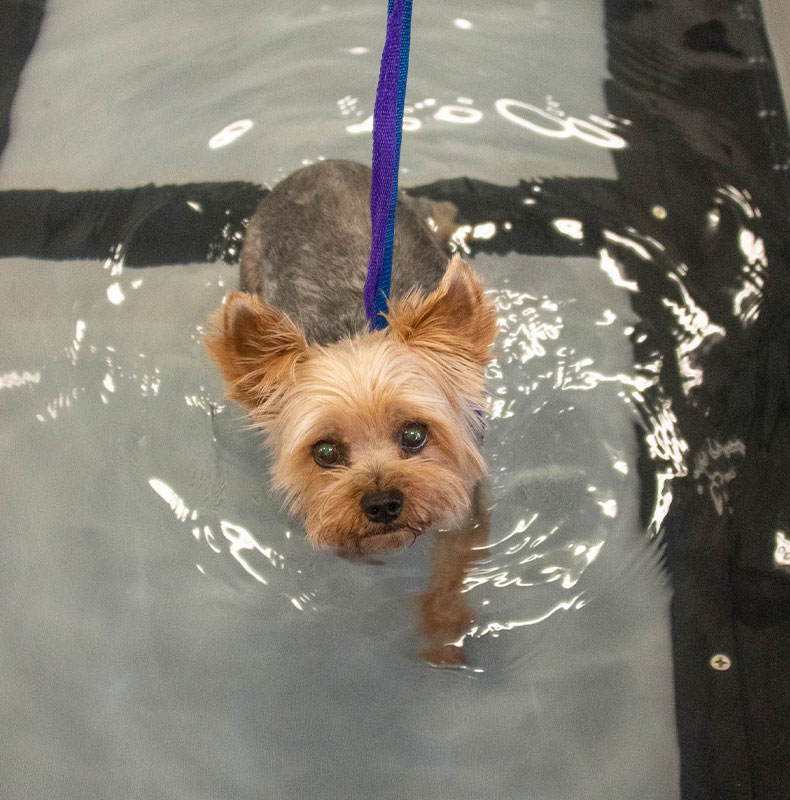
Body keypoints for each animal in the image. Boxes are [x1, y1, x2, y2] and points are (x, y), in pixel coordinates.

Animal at [207, 161, 498, 664]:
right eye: (324, 452)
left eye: (415, 435)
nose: (381, 503)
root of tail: (321, 166)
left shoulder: (467, 505)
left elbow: (451, 570)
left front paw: (443, 634)